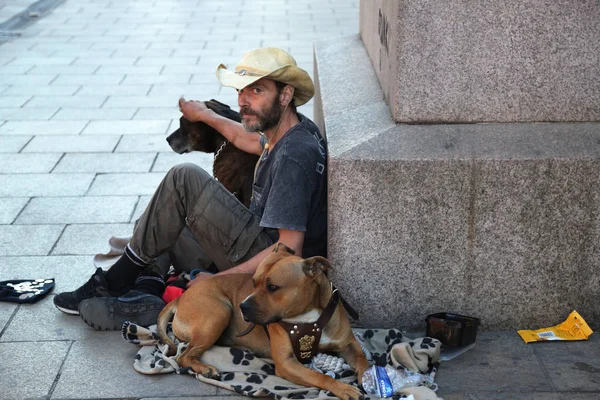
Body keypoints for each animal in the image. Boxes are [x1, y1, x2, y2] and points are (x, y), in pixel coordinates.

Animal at [157, 244, 368, 400]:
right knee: (183, 356)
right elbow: (318, 375)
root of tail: (181, 298)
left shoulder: (348, 344)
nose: (242, 306)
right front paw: (343, 388)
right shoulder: (286, 363)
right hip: (219, 312)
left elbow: (363, 360)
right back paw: (205, 368)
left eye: (272, 287)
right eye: (253, 282)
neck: (308, 316)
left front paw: (368, 377)